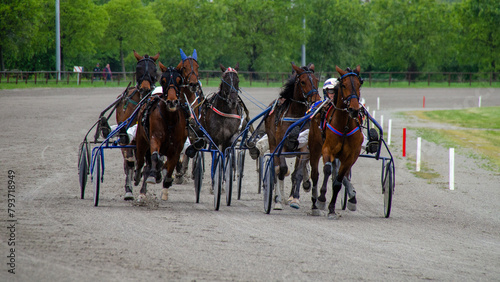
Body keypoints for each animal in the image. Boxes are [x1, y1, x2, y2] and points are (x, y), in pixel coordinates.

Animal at [114, 50, 159, 200]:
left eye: (154, 69)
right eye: (138, 69)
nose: (145, 88)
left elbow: (148, 165)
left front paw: (143, 191)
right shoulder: (126, 136)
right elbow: (129, 162)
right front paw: (128, 191)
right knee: (128, 161)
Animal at [133, 63, 188, 202]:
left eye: (180, 80)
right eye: (163, 80)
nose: (172, 101)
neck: (169, 120)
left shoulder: (177, 147)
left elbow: (171, 164)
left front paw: (166, 183)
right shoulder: (155, 138)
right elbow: (154, 156)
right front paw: (153, 175)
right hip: (141, 140)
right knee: (141, 161)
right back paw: (139, 178)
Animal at [262, 62, 320, 210]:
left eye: (316, 80)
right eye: (303, 81)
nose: (316, 100)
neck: (295, 117)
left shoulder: (303, 147)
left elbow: (297, 174)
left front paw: (295, 199)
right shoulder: (280, 146)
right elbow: (281, 170)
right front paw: (277, 200)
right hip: (272, 143)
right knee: (277, 169)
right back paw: (278, 197)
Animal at [308, 65, 364, 218]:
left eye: (359, 84)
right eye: (344, 85)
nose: (354, 109)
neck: (344, 126)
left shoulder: (350, 156)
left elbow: (338, 180)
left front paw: (332, 208)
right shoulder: (327, 149)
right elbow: (326, 170)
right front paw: (321, 199)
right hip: (314, 148)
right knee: (315, 174)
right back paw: (315, 203)